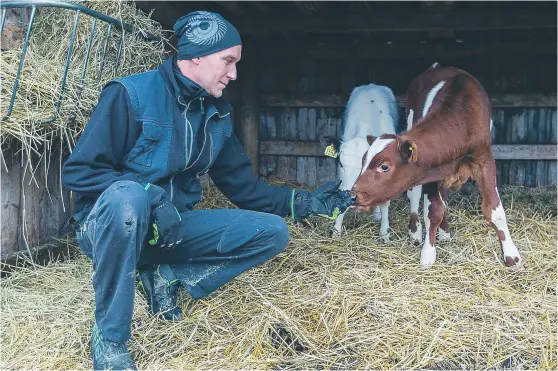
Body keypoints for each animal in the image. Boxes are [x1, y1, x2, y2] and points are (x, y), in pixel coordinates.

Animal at [354, 63, 524, 268]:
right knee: (416, 195)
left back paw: (444, 231)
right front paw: (428, 254)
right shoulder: (427, 171)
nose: (353, 195)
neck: (460, 123)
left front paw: (511, 255)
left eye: (384, 166)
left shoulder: (484, 160)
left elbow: (494, 209)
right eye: (363, 161)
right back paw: (416, 232)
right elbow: (433, 211)